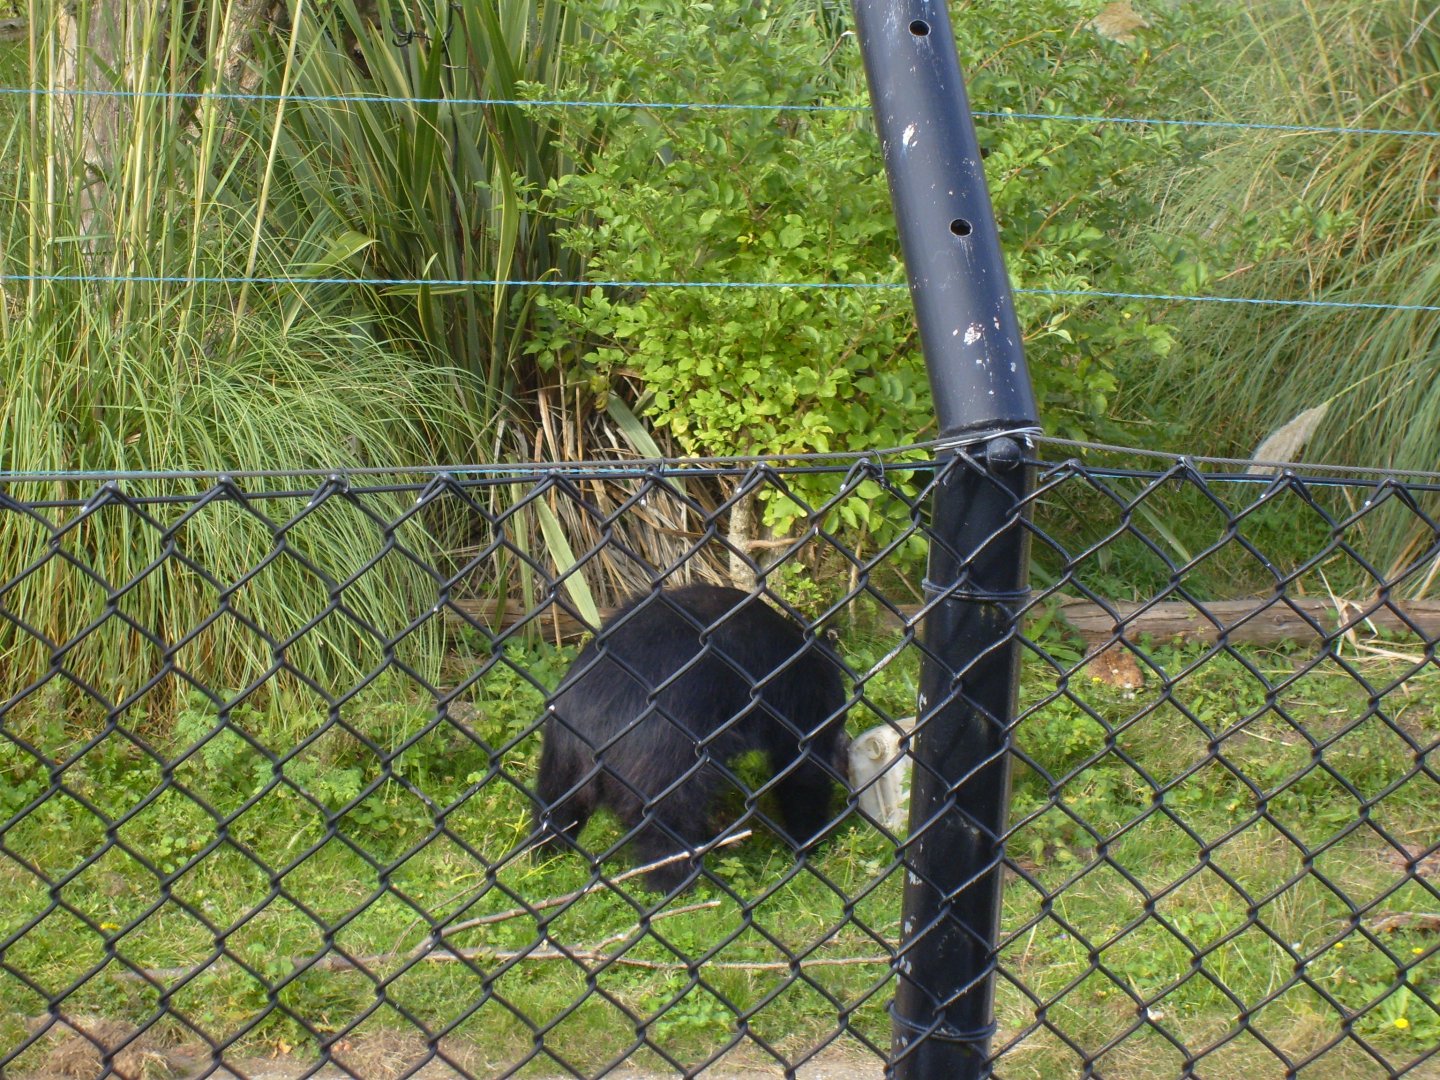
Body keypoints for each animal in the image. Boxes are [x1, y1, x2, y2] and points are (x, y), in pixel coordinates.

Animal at [531, 583, 851, 892]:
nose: (846, 755)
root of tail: (594, 728)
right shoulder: (804, 704)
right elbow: (803, 772)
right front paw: (814, 839)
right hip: (663, 756)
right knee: (669, 823)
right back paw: (675, 883)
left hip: (562, 755)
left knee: (556, 807)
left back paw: (545, 857)